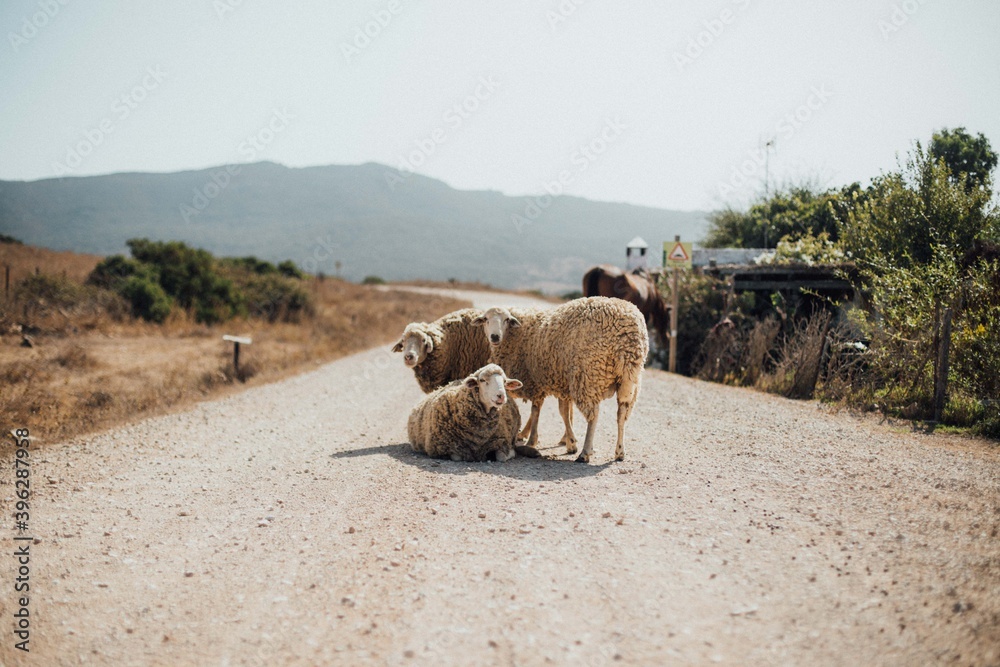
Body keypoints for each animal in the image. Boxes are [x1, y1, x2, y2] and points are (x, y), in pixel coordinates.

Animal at [407, 364, 536, 462]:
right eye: (482, 380)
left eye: (504, 381)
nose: (501, 396)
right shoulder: (447, 447)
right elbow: (458, 457)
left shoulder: (501, 442)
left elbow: (502, 457)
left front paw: (511, 452)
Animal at [474, 297, 648, 463]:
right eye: (486, 319)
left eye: (506, 320)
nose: (494, 336)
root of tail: (629, 329)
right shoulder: (560, 381)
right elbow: (563, 411)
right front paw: (568, 441)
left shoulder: (537, 383)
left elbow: (537, 411)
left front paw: (534, 440)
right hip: (629, 378)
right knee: (622, 413)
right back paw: (619, 452)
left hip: (588, 374)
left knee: (594, 415)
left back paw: (585, 453)